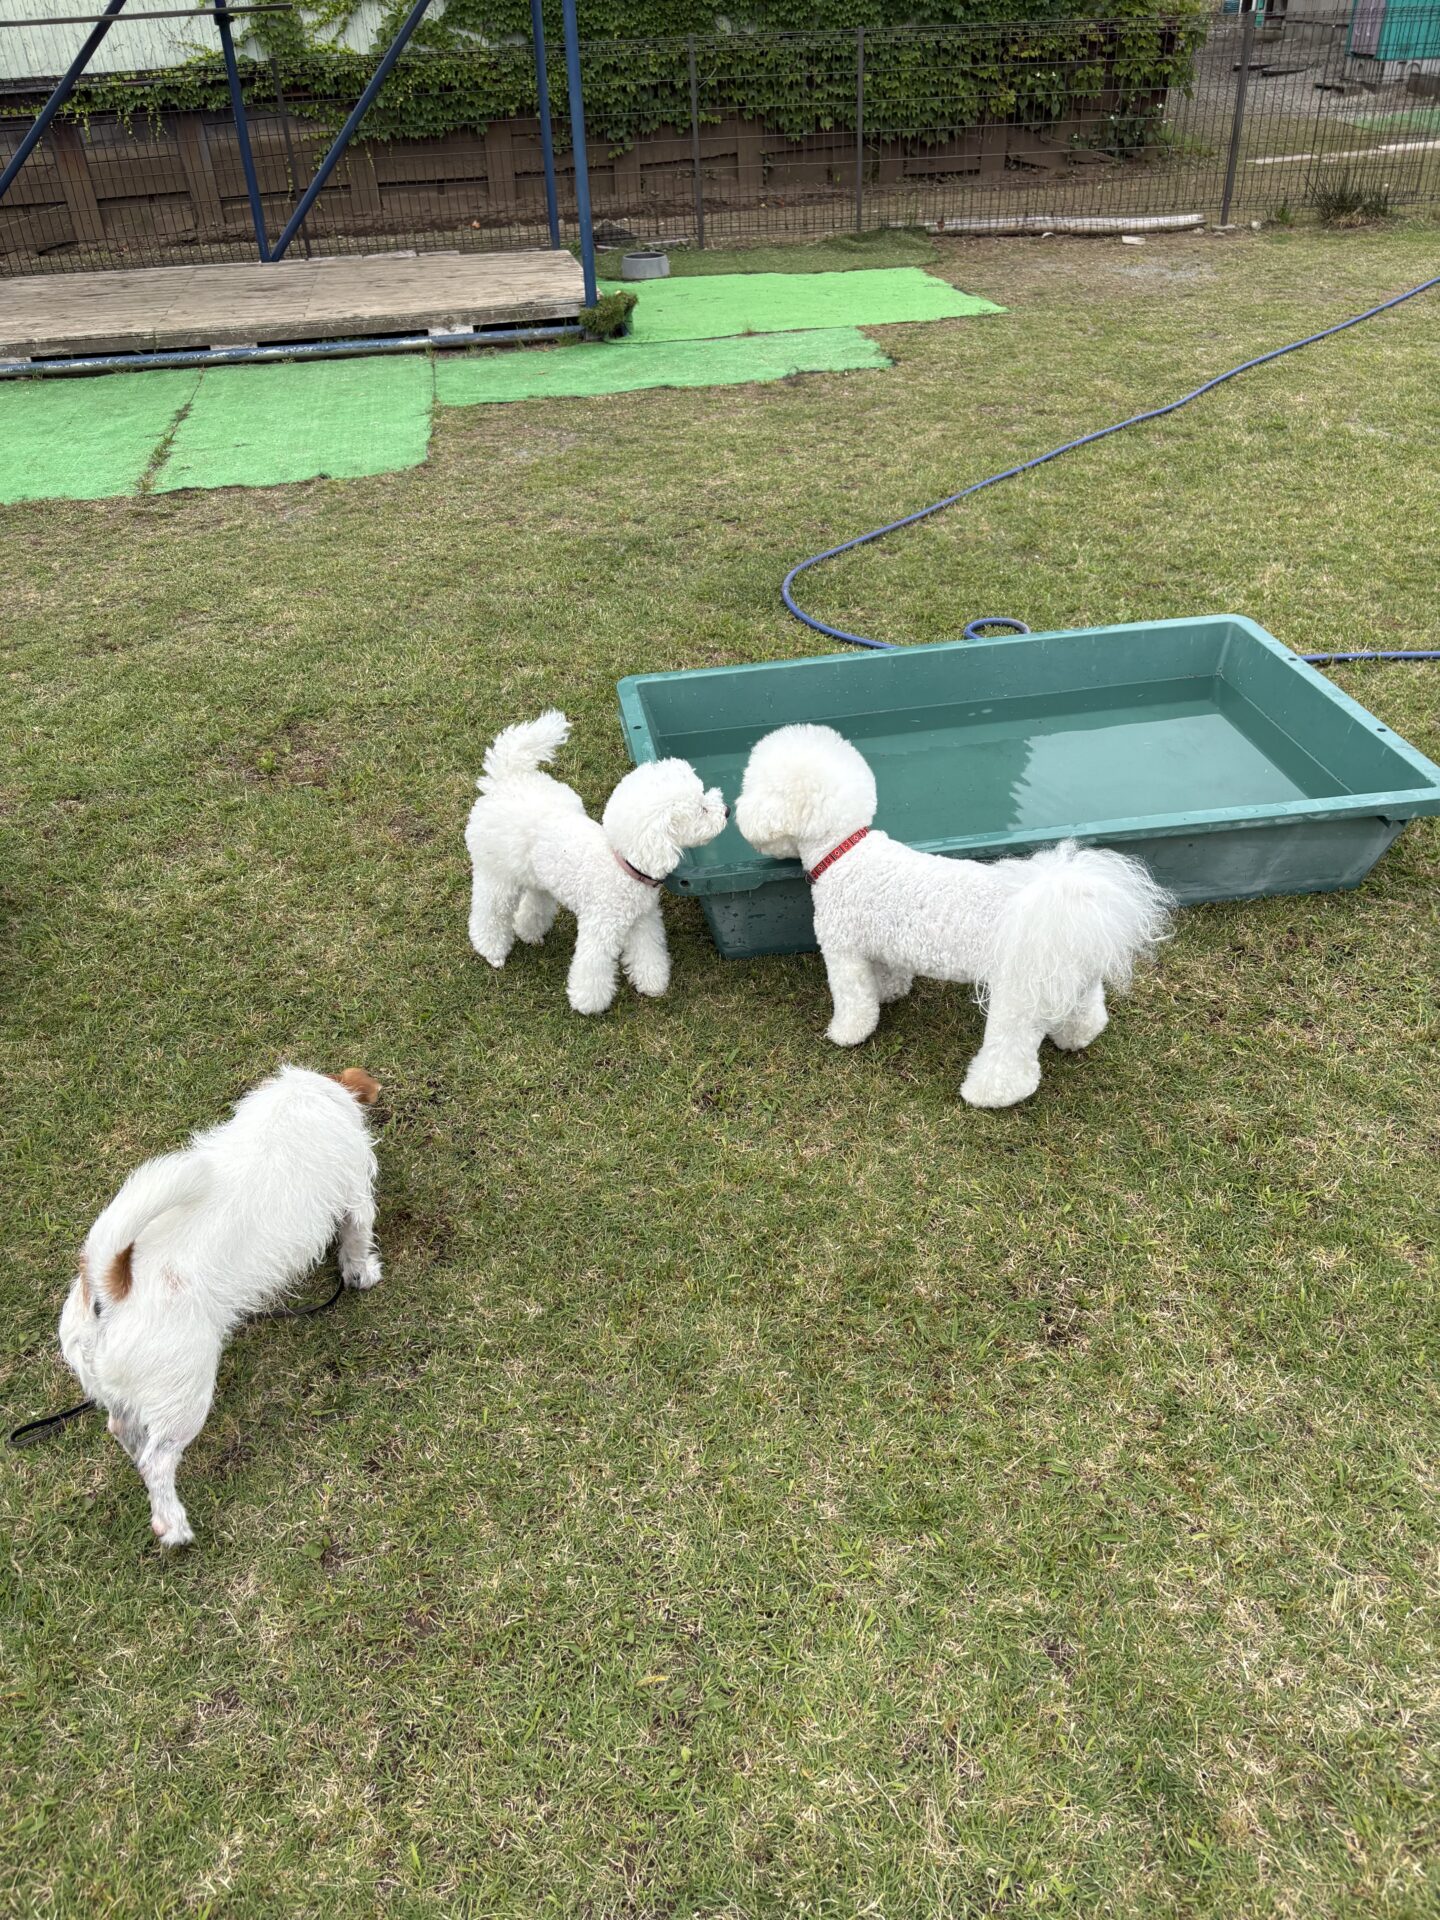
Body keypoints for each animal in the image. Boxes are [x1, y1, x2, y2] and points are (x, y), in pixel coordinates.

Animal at [58, 1065, 382, 1548]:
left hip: (125, 1393)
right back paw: (173, 1526)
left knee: (125, 1431)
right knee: (158, 1461)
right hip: (185, 1398)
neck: (301, 1101)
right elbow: (357, 1245)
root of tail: (109, 1287)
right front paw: (363, 1274)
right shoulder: (357, 1201)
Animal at [465, 710, 728, 1014]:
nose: (727, 811)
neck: (623, 865)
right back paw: (492, 951)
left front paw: (653, 983)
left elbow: (648, 952)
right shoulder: (599, 928)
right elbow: (592, 967)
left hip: (537, 873)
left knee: (535, 901)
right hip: (497, 874)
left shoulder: (643, 920)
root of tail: (506, 779)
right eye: (702, 809)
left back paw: (529, 932)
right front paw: (588, 1003)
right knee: (490, 912)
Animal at [733, 724, 1173, 1107]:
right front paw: (889, 993)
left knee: (1011, 1056)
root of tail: (1062, 904)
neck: (844, 851)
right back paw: (1077, 1037)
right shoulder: (883, 945)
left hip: (1016, 997)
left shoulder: (843, 951)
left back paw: (988, 1094)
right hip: (1067, 978)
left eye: (752, 784)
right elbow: (889, 975)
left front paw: (846, 1033)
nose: (736, 812)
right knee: (1087, 1012)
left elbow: (854, 1000)